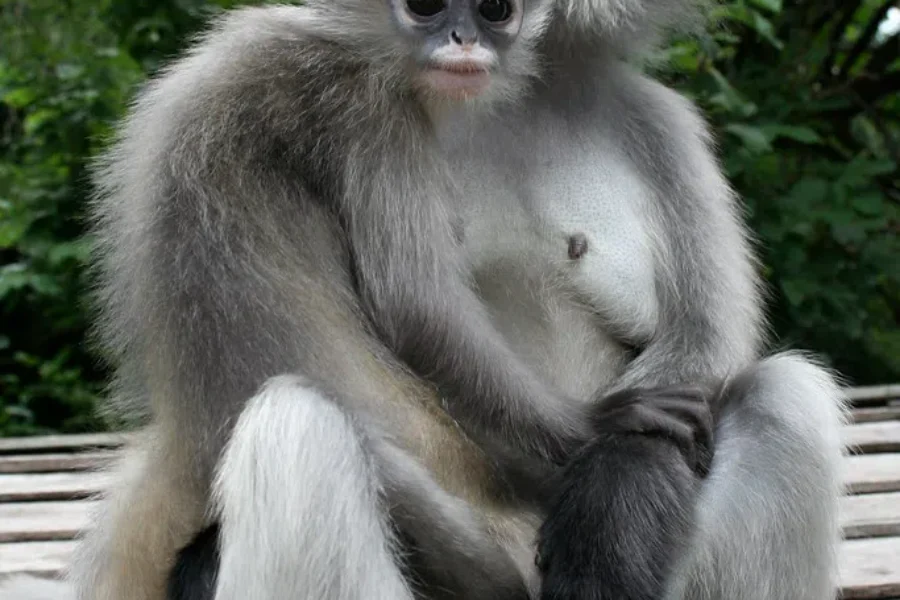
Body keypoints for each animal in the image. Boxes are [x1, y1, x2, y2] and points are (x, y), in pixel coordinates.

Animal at [0, 0, 849, 599]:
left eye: (499, 7)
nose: (465, 39)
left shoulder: (657, 120)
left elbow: (706, 341)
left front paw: (615, 509)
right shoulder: (340, 97)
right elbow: (415, 305)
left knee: (783, 392)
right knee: (299, 426)